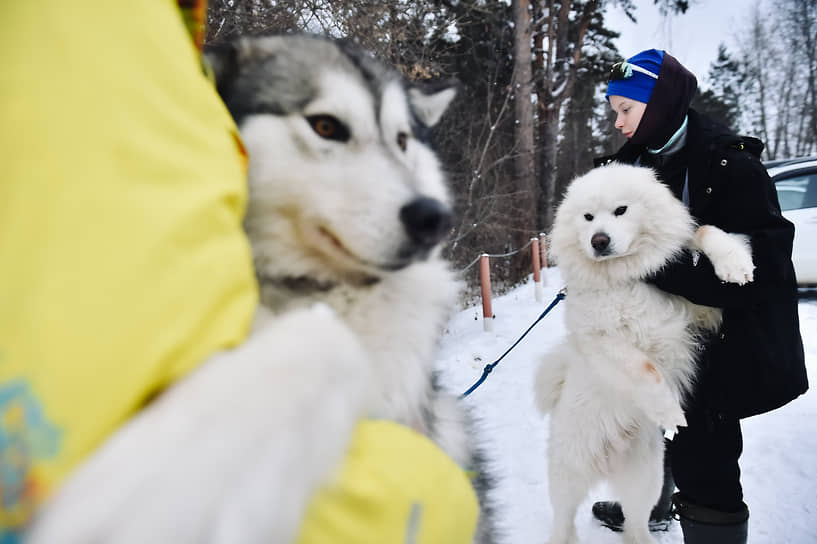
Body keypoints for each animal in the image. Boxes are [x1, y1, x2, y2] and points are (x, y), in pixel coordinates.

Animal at [532, 163, 756, 544]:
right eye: (588, 218)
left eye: (621, 210)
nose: (599, 240)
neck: (625, 275)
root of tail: (608, 456)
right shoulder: (600, 339)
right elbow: (644, 367)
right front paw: (668, 410)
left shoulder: (699, 310)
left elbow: (705, 231)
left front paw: (734, 264)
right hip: (569, 473)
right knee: (564, 519)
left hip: (645, 478)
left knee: (635, 522)